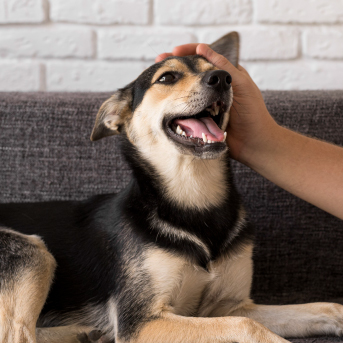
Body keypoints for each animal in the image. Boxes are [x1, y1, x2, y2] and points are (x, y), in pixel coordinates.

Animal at [0, 32, 343, 343]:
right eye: (167, 77)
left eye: (218, 69)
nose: (223, 78)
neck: (194, 195)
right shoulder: (142, 321)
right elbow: (245, 326)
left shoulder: (231, 305)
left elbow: (324, 307)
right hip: (32, 252)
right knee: (18, 334)